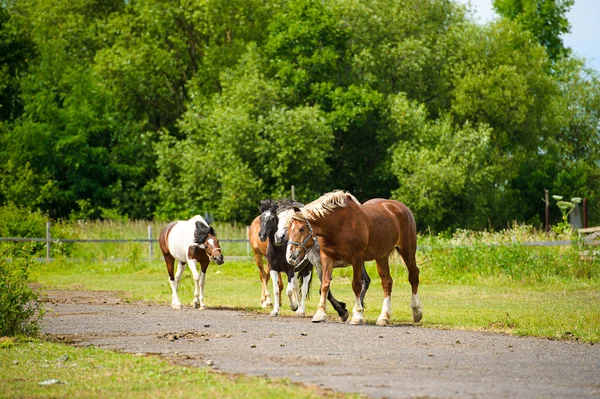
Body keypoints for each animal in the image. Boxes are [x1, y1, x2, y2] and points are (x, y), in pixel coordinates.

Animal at [286, 192, 422, 326]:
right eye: (289, 230)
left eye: (301, 229)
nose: (290, 256)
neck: (339, 226)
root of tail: (401, 207)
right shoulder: (326, 258)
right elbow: (325, 285)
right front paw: (320, 314)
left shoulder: (356, 258)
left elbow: (356, 285)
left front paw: (357, 316)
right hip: (381, 256)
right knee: (387, 282)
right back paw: (384, 317)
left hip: (407, 251)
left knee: (413, 276)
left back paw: (416, 312)